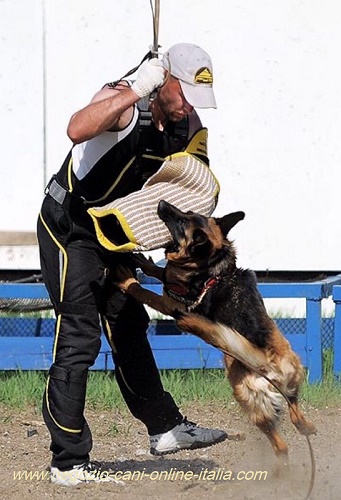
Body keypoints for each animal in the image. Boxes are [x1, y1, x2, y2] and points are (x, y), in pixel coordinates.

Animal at [115, 200, 316, 460]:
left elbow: (145, 291)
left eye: (181, 222)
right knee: (296, 414)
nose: (162, 203)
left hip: (245, 397)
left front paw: (128, 282)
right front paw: (145, 263)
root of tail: (267, 362)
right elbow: (161, 272)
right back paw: (307, 427)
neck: (212, 268)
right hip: (293, 381)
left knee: (280, 443)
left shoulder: (171, 304)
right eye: (188, 213)